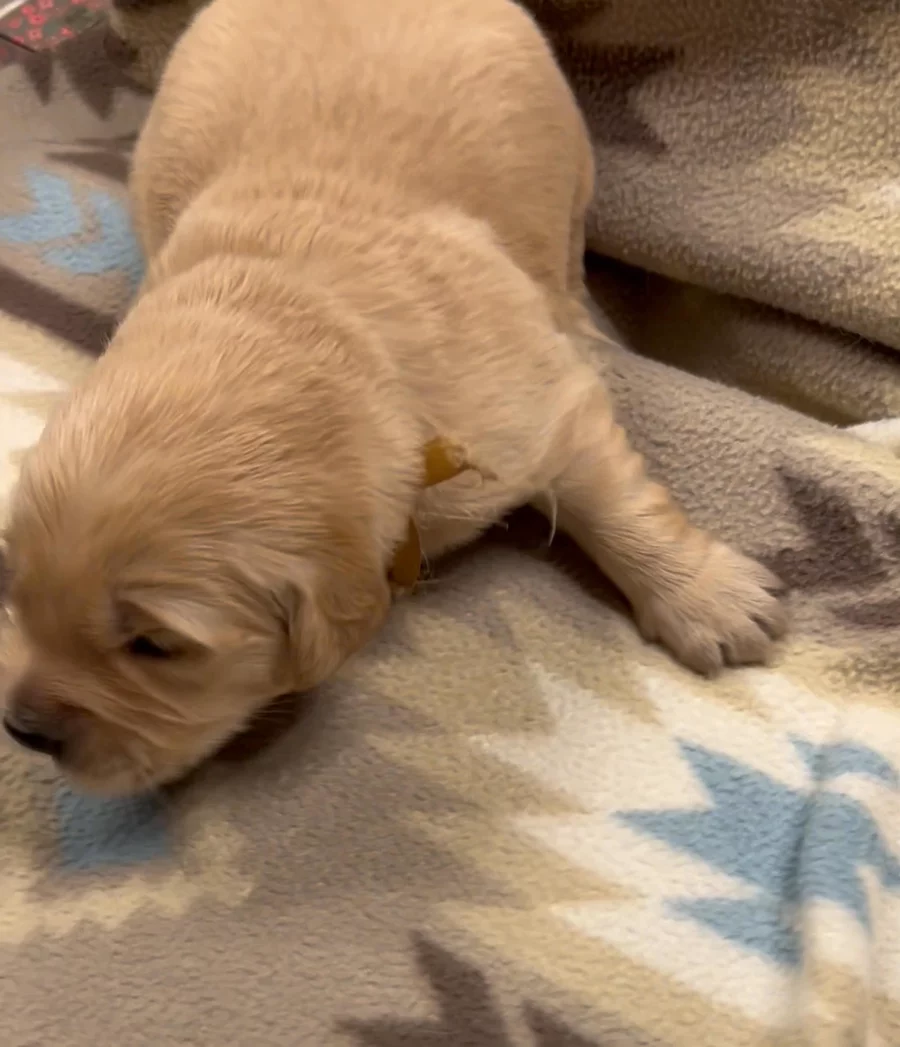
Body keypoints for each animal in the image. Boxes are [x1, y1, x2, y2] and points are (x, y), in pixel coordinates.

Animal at [1, 0, 786, 795]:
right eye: (15, 588)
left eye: (155, 645)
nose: (23, 731)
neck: (294, 315)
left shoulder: (539, 405)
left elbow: (617, 500)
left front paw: (710, 601)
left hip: (572, 162)